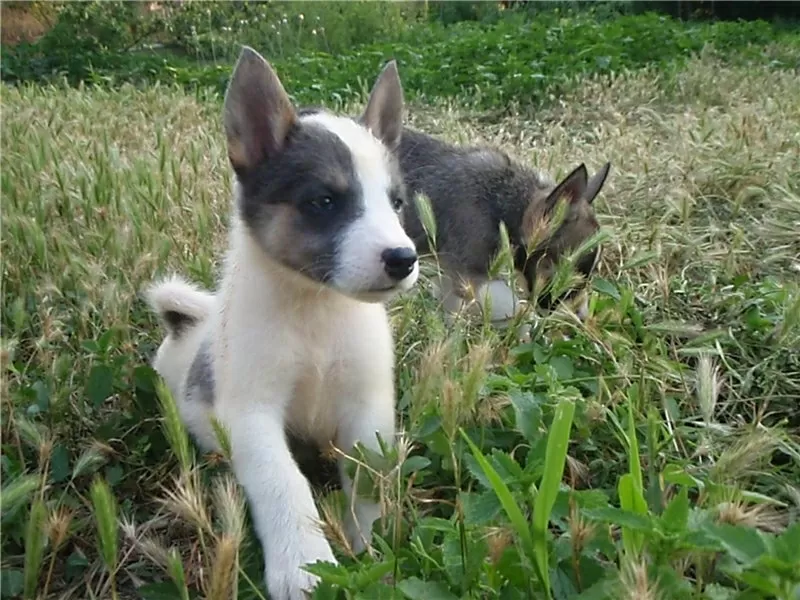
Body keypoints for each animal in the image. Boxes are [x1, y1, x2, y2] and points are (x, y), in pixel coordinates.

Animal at [145, 47, 418, 600]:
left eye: (396, 202)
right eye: (324, 202)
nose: (404, 259)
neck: (316, 312)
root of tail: (188, 324)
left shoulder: (367, 405)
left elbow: (368, 472)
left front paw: (369, 540)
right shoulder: (252, 415)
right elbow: (284, 483)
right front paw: (305, 562)